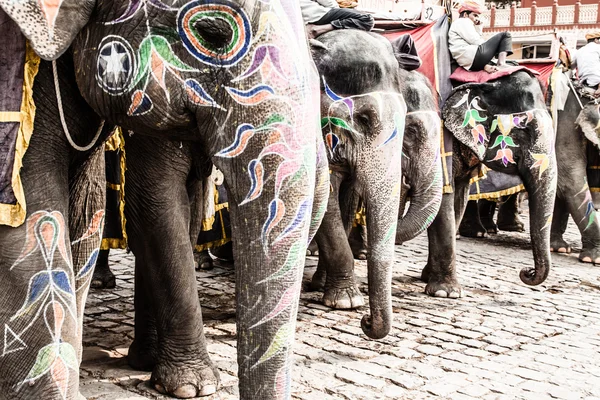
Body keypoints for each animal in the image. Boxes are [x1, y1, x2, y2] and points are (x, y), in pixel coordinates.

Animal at [308, 29, 442, 340]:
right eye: (364, 118)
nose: (366, 322)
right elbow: (328, 200)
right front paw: (346, 301)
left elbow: (345, 201)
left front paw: (325, 288)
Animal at [426, 71, 556, 296]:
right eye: (525, 131)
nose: (526, 271)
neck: (485, 83)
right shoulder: (440, 142)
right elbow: (443, 200)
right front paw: (447, 293)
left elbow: (458, 201)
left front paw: (428, 280)